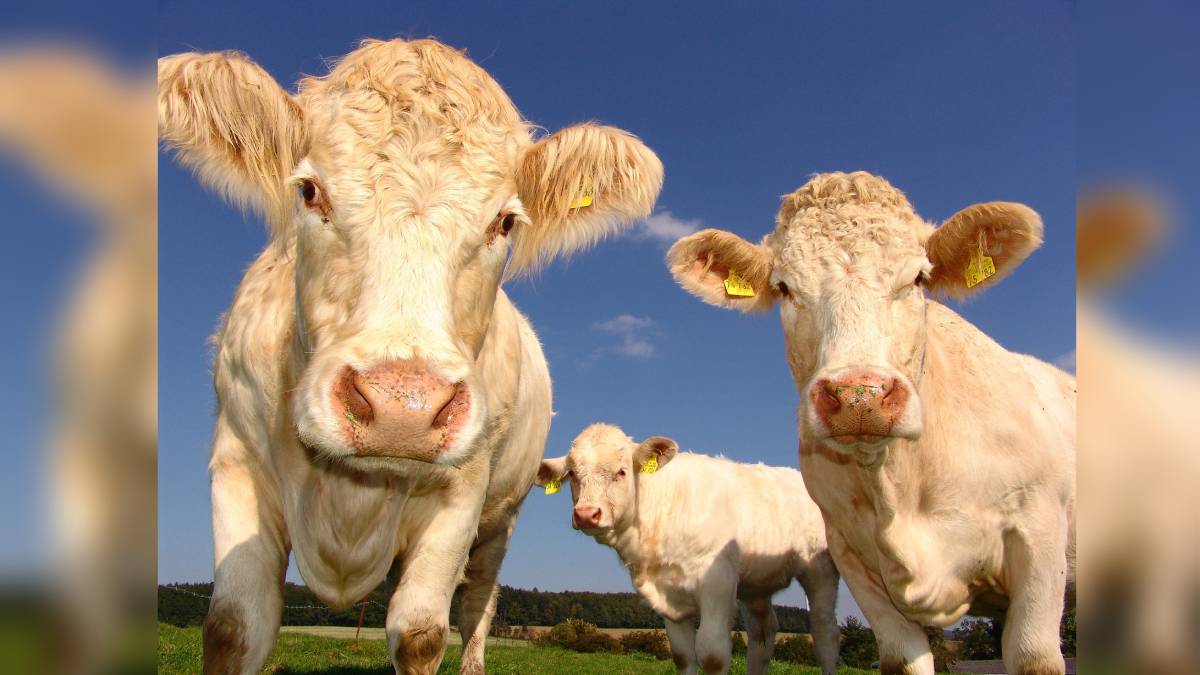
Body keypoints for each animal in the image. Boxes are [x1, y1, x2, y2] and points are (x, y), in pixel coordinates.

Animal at [157, 38, 663, 674]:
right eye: (310, 191)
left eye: (505, 221)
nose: (404, 408)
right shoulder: (237, 462)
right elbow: (233, 625)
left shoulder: (462, 493)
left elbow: (422, 632)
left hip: (499, 521)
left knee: (475, 606)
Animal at [536, 423, 840, 675]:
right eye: (573, 474)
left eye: (621, 471)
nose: (587, 514)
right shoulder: (669, 598)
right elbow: (683, 656)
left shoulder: (717, 583)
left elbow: (712, 655)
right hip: (756, 583)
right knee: (763, 635)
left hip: (820, 569)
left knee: (825, 632)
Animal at [666, 172, 1076, 675]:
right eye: (784, 287)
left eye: (918, 277)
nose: (860, 396)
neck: (901, 484)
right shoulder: (854, 559)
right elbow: (901, 659)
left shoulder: (1040, 537)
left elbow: (1034, 655)